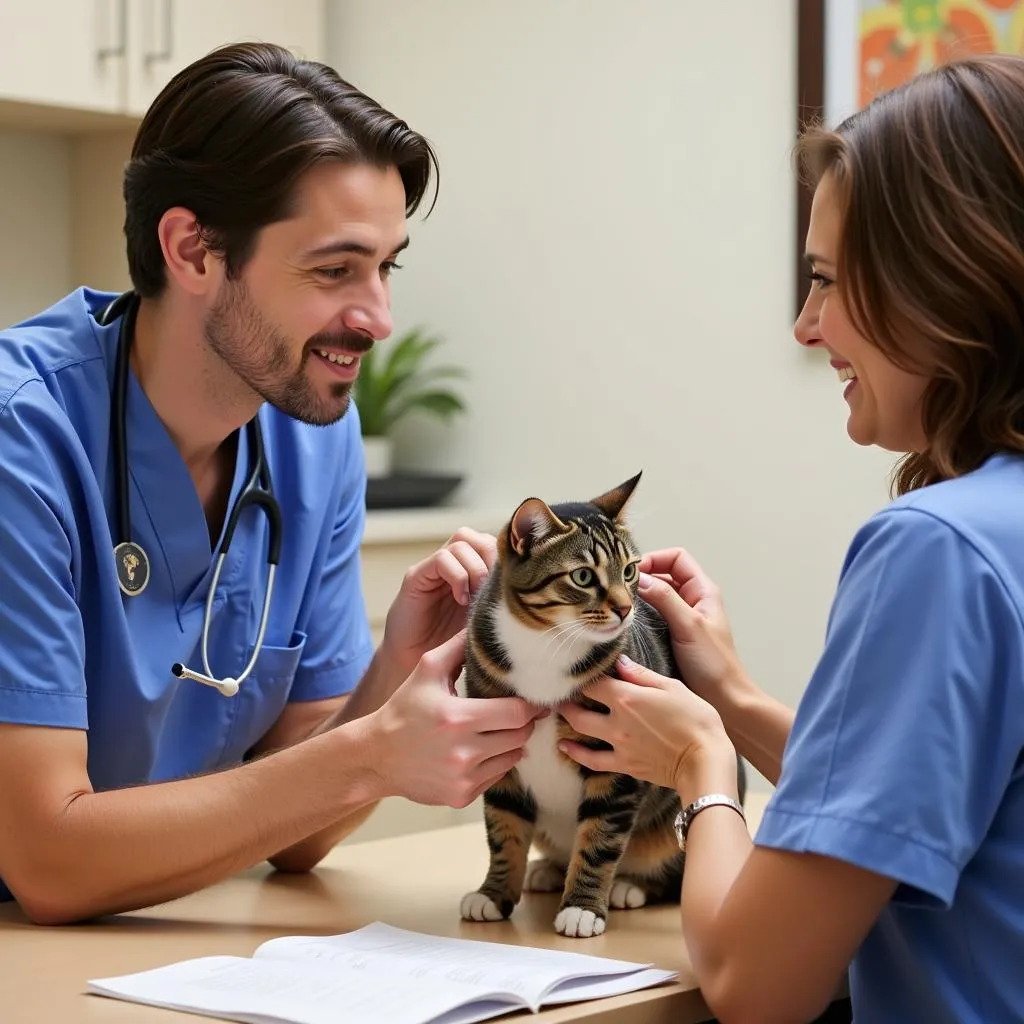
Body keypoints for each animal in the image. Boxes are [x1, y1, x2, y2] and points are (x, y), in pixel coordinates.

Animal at [460, 471, 749, 937]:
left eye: (630, 571)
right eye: (582, 576)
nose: (627, 607)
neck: (547, 645)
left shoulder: (617, 764)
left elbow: (599, 838)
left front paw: (582, 908)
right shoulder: (499, 754)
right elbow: (504, 831)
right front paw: (493, 893)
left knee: (673, 871)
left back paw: (629, 886)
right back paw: (547, 870)